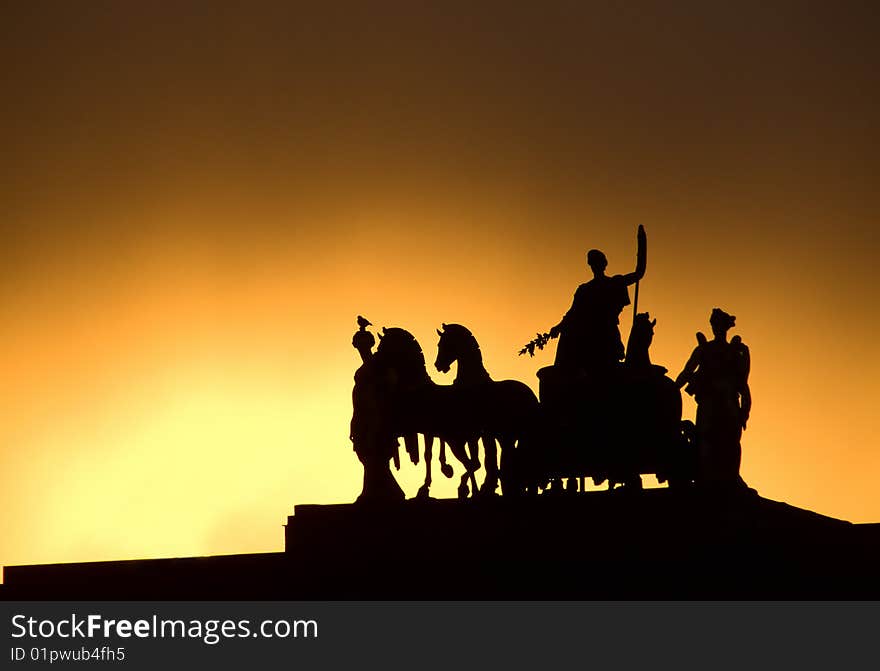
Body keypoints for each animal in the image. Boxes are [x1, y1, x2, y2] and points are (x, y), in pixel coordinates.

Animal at [434, 322, 540, 496]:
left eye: (444, 344)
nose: (438, 365)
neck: (472, 383)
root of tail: (531, 396)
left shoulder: (476, 431)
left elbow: (479, 461)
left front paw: (468, 486)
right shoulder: (477, 432)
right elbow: (481, 460)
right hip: (509, 435)